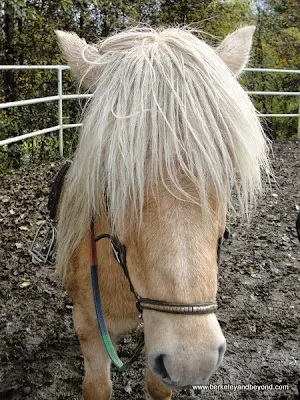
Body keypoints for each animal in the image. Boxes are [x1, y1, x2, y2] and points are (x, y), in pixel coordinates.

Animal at [55, 26, 270, 398]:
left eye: (226, 165)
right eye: (110, 172)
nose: (192, 358)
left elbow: (158, 385)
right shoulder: (91, 327)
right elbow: (97, 385)